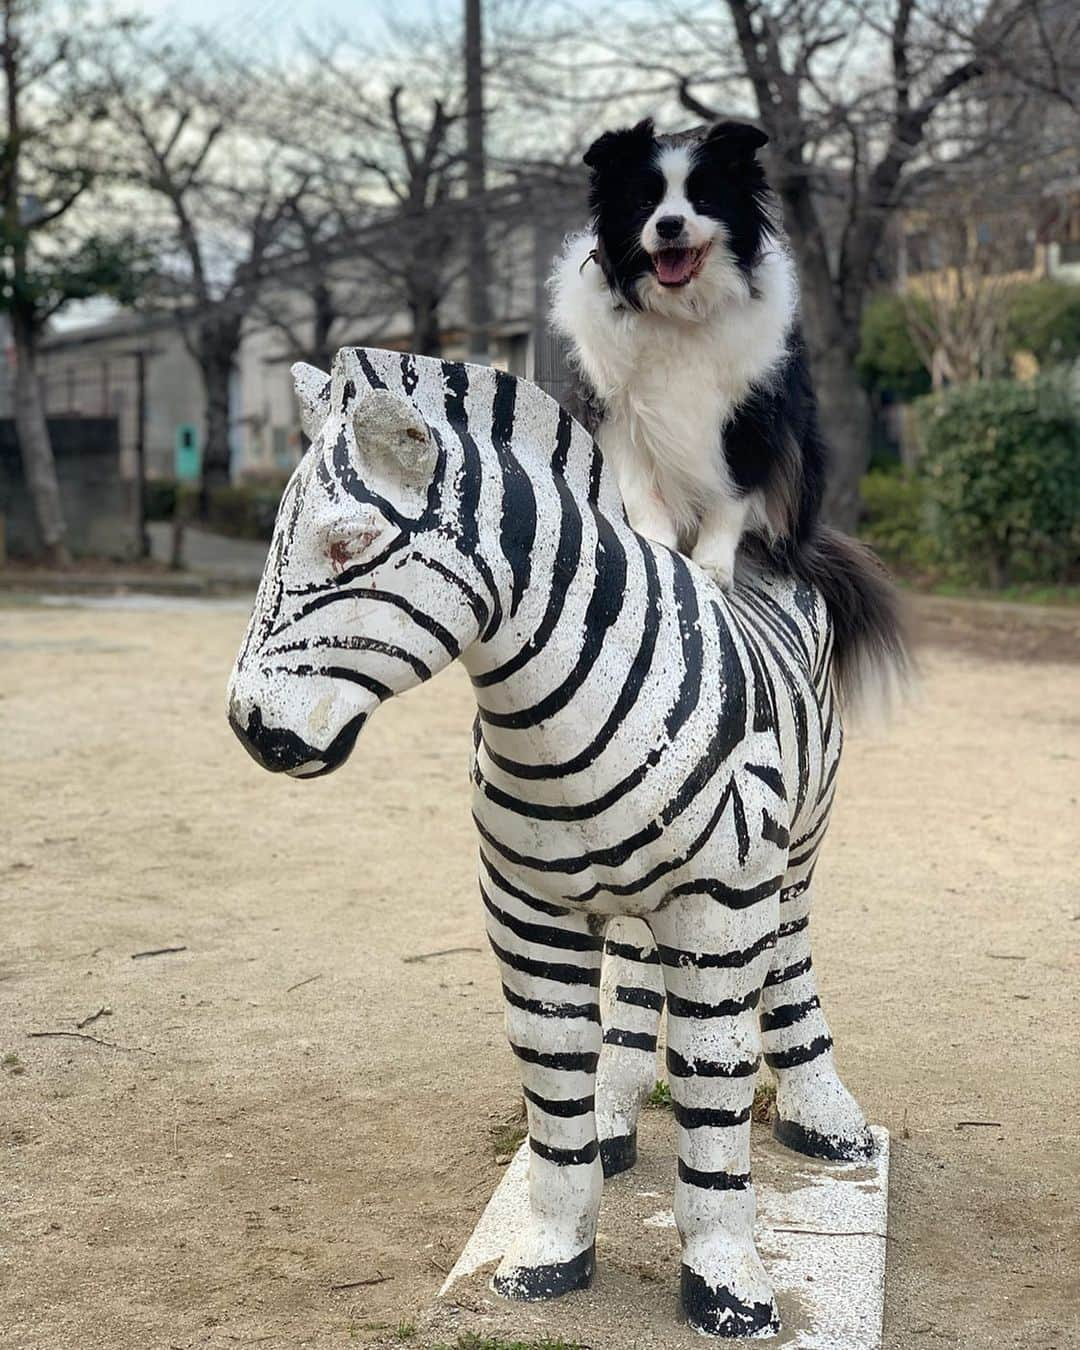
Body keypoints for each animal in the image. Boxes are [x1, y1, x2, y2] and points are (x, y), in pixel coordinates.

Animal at [548, 120, 826, 591]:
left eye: (704, 199)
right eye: (645, 201)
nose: (669, 225)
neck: (679, 311)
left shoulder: (752, 415)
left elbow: (732, 494)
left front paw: (714, 565)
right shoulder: (616, 411)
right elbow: (640, 488)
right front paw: (658, 548)